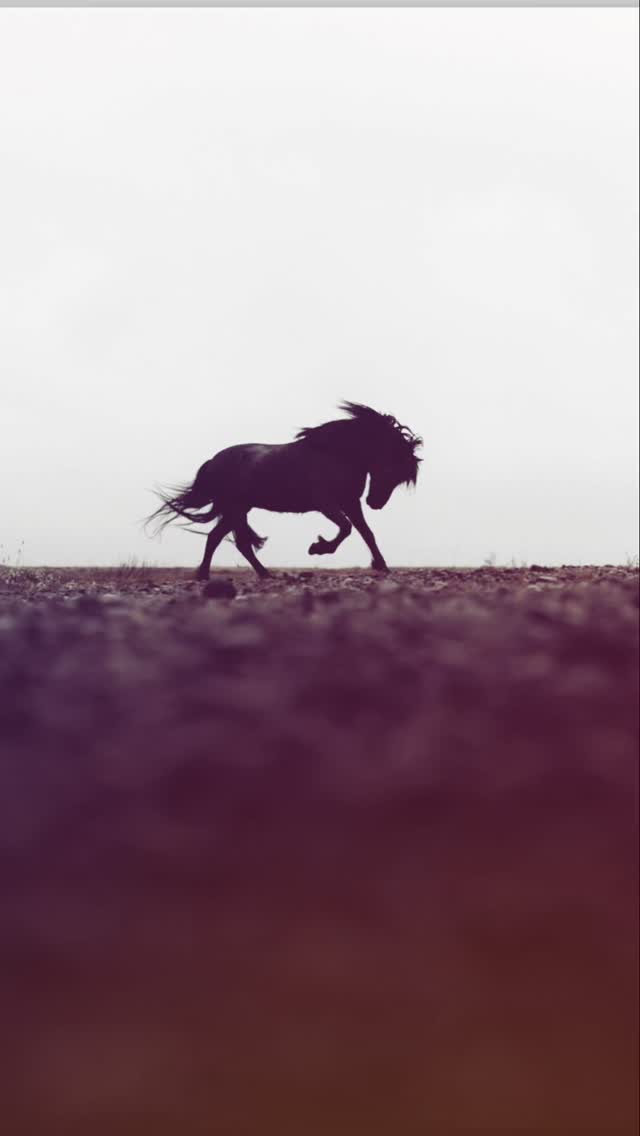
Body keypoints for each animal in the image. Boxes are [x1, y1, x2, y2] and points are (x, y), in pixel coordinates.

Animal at [146, 401, 422, 579]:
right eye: (391, 468)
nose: (376, 502)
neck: (336, 454)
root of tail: (213, 461)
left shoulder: (350, 502)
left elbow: (366, 533)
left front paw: (381, 565)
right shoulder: (326, 504)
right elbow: (346, 529)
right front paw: (318, 548)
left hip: (238, 508)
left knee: (220, 538)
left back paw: (233, 574)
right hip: (236, 508)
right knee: (233, 541)